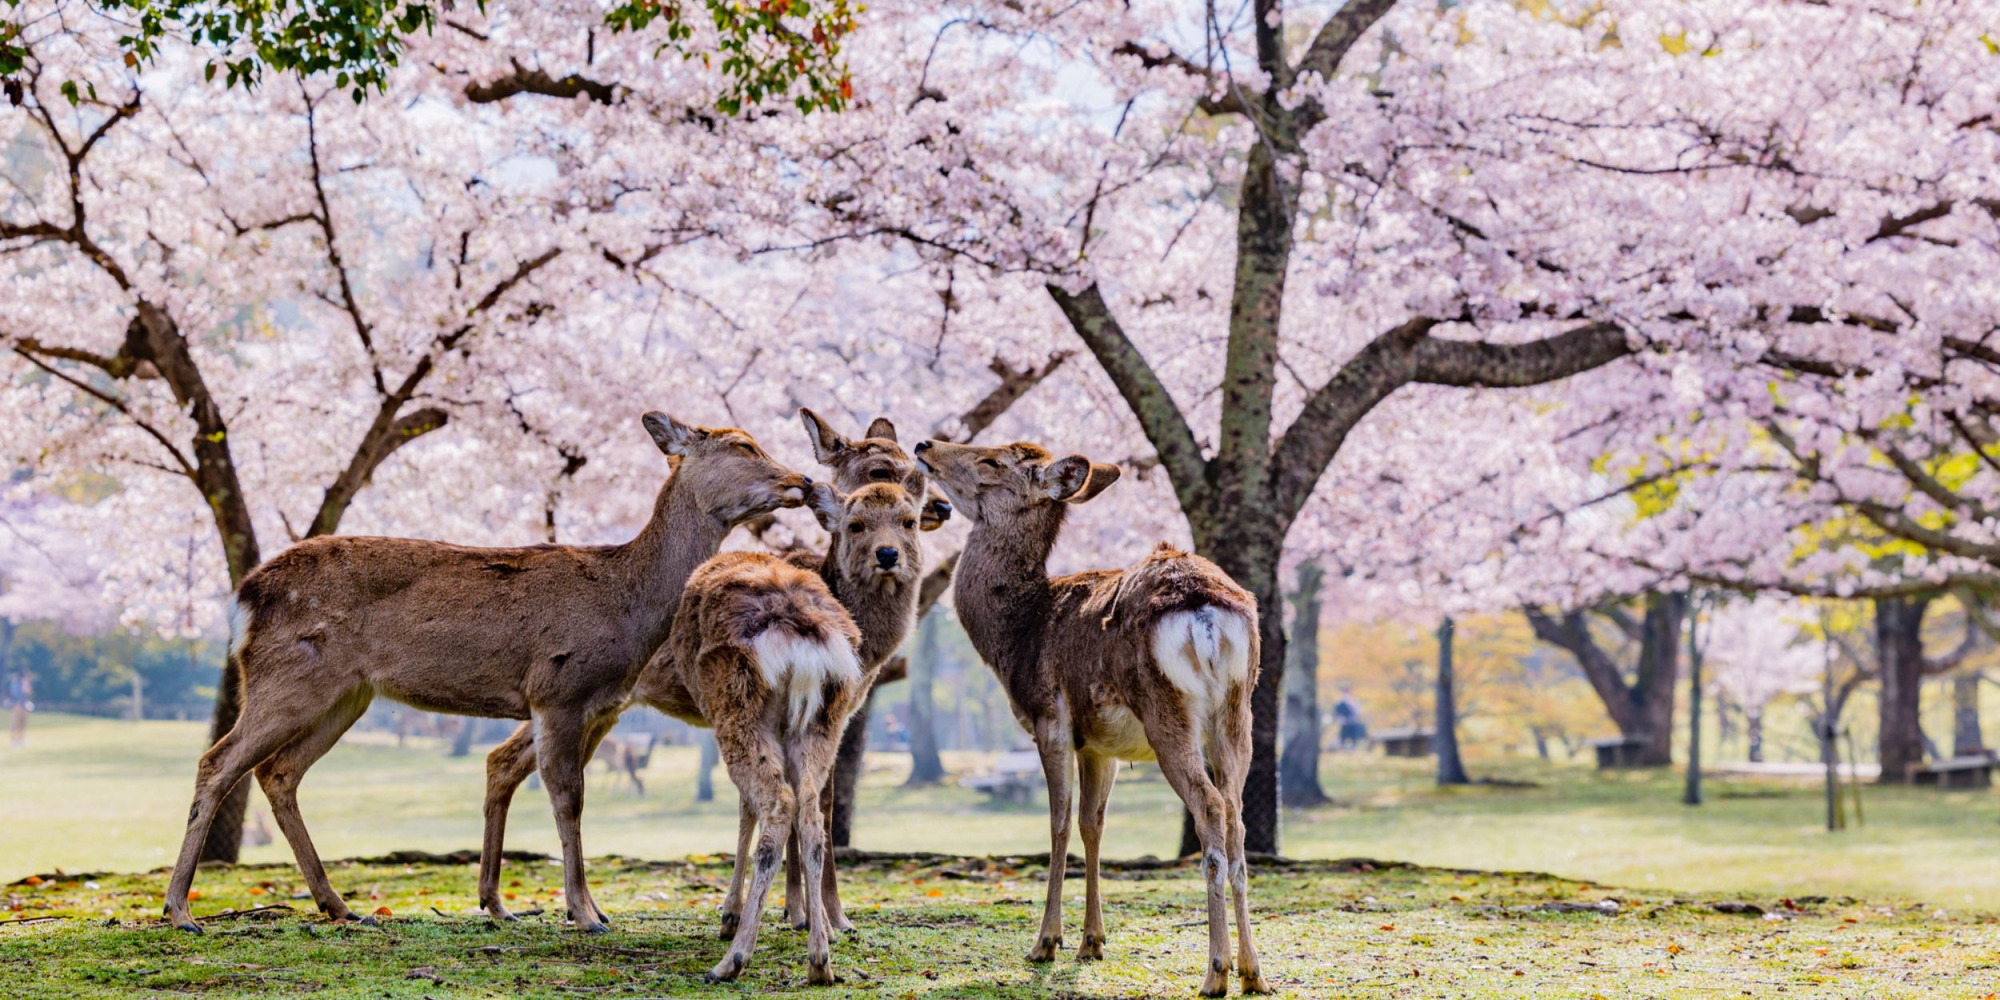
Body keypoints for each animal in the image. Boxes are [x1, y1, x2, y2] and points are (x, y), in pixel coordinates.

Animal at [161, 413, 812, 935]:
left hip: (347, 695)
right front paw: (586, 914)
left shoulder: (599, 703)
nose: (803, 481)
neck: (627, 604)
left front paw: (579, 908)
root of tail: (244, 598)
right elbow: (569, 798)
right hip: (287, 677)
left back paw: (340, 906)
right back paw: (181, 911)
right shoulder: (558, 690)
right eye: (743, 445)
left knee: (279, 771)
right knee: (217, 761)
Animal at [474, 408, 933, 933]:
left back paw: (500, 900)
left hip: (590, 707)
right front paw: (821, 915)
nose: (940, 506)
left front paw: (802, 912)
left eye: (912, 475)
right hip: (572, 699)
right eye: (879, 469)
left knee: (503, 761)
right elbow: (816, 802)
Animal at [913, 437, 1269, 997]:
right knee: (1235, 812)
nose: (925, 444)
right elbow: (1093, 825)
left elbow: (1058, 823)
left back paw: (1216, 972)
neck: (1017, 635)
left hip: (1167, 710)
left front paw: (1045, 943)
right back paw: (1253, 971)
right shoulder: (1102, 746)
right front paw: (1092, 943)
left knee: (1210, 806)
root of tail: (1205, 611)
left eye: (993, 461)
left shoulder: (1049, 720)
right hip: (1237, 710)